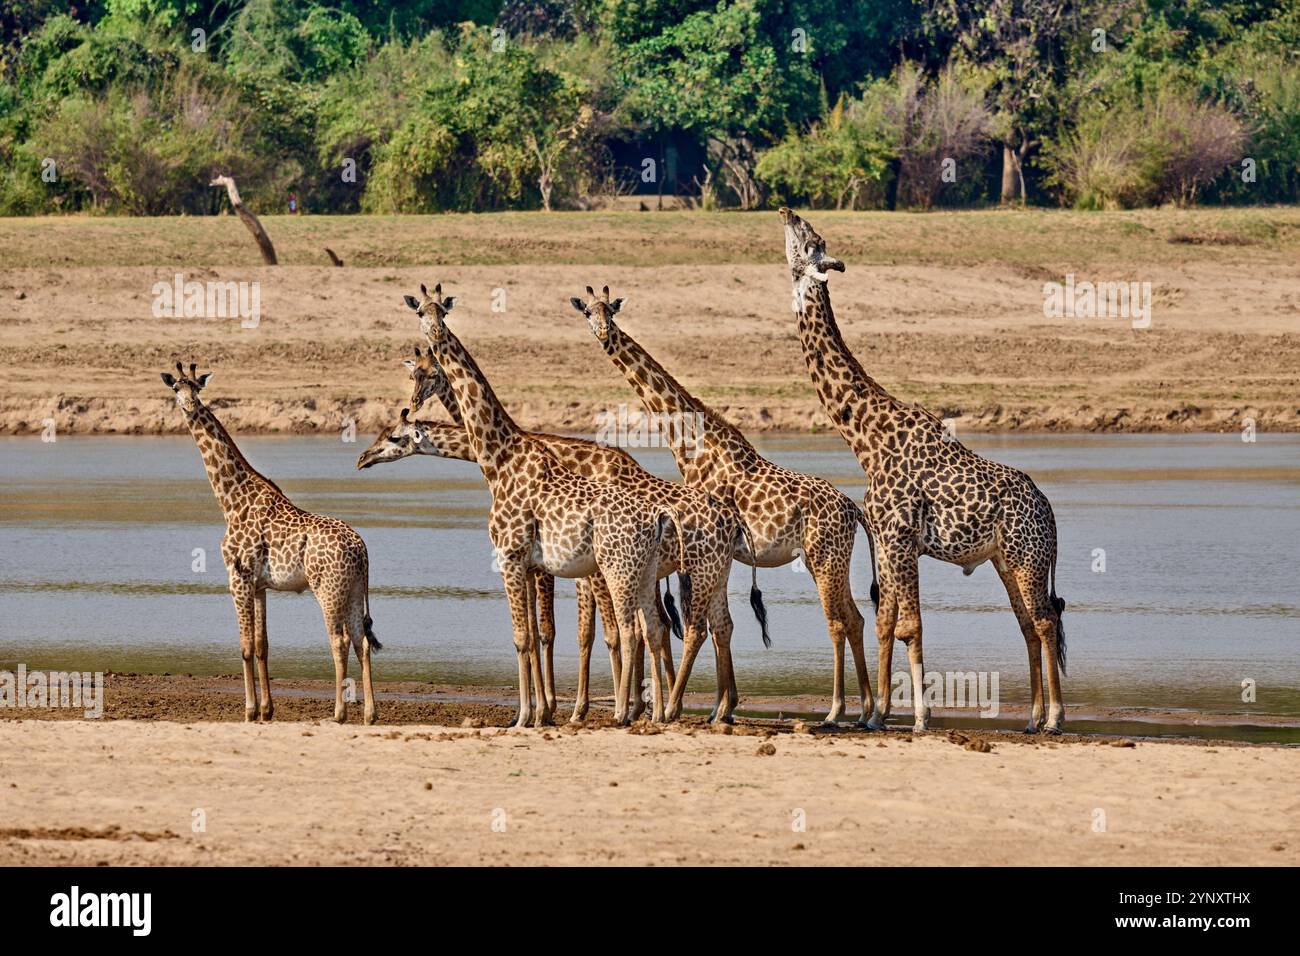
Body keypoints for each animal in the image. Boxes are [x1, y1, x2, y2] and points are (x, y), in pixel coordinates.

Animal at [160, 361, 380, 724]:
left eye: (197, 388)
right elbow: (263, 645)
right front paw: (267, 709)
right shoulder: (261, 585)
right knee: (361, 641)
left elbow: (245, 645)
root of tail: (362, 551)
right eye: (177, 387)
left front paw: (249, 710)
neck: (231, 499)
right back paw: (370, 714)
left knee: (339, 640)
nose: (190, 406)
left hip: (329, 589)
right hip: (352, 591)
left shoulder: (238, 576)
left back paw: (338, 713)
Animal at [404, 284, 680, 727]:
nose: (434, 332)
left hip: (615, 570)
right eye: (420, 313)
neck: (498, 457)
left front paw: (525, 716)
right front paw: (540, 712)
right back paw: (655, 712)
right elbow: (537, 636)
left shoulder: (512, 557)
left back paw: (625, 711)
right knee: (654, 627)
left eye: (441, 313)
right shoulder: (535, 564)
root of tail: (656, 514)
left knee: (630, 630)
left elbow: (524, 637)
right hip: (640, 572)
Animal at [570, 285, 878, 727]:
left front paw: (699, 705)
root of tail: (854, 512)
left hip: (824, 556)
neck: (693, 446)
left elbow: (706, 626)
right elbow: (721, 626)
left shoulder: (709, 547)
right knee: (854, 618)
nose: (603, 333)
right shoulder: (724, 552)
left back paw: (838, 710)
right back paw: (868, 711)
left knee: (839, 621)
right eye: (587, 313)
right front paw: (723, 706)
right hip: (831, 558)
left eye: (610, 311)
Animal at [778, 207, 1068, 733]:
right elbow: (886, 623)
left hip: (1027, 556)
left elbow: (909, 625)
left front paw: (919, 717)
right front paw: (876, 716)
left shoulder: (900, 537)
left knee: (1044, 620)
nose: (787, 210)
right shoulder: (890, 542)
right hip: (1005, 559)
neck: (866, 439)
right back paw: (1033, 718)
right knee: (1027, 624)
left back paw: (1055, 717)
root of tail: (1050, 513)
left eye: (811, 240)